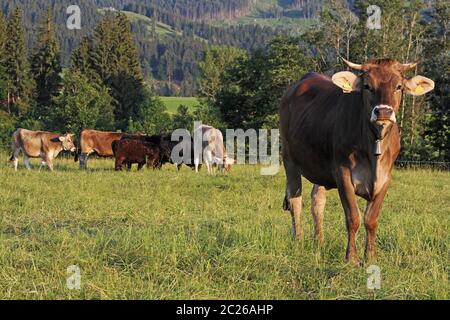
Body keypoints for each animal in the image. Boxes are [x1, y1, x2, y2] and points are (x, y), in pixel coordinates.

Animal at [280, 58, 434, 264]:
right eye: (367, 86)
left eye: (399, 86)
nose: (383, 111)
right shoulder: (342, 173)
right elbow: (353, 217)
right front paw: (351, 258)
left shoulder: (385, 178)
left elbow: (371, 219)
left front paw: (371, 256)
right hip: (289, 157)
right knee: (295, 199)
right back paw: (299, 240)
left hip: (320, 166)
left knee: (317, 200)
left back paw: (319, 241)